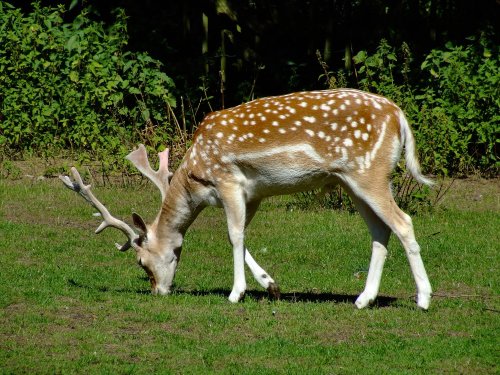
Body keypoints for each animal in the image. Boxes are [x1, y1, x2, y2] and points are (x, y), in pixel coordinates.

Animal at [60, 89, 432, 310]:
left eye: (141, 262)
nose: (158, 291)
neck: (195, 175)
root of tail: (400, 117)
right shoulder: (253, 193)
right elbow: (244, 236)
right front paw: (271, 286)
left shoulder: (228, 180)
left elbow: (234, 235)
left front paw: (235, 293)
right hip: (353, 183)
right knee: (380, 232)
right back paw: (363, 299)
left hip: (370, 174)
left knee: (403, 222)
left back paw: (424, 299)